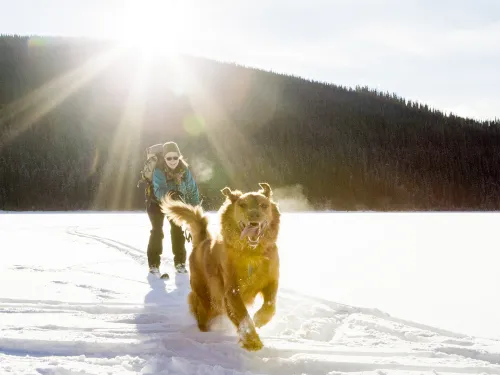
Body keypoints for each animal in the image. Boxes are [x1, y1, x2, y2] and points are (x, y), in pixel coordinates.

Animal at [159, 184, 282, 352]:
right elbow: (243, 315)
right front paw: (251, 341)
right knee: (201, 315)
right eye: (242, 205)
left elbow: (270, 305)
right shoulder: (231, 290)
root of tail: (202, 242)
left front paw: (260, 319)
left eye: (264, 205)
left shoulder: (271, 280)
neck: (250, 253)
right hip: (205, 297)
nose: (254, 216)